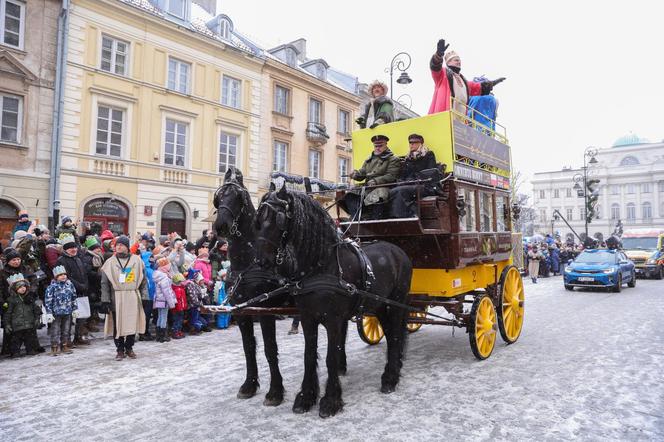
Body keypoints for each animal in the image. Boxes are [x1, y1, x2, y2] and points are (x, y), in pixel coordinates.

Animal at [213, 167, 290, 406]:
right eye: (219, 197)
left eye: (238, 197)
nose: (221, 225)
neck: (248, 261)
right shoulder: (243, 311)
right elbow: (249, 348)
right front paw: (249, 385)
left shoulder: (265, 310)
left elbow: (270, 348)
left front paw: (275, 392)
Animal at [255, 186, 416, 418]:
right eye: (258, 220)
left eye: (278, 219)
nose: (260, 261)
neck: (320, 267)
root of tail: (398, 251)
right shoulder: (308, 319)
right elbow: (309, 355)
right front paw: (306, 397)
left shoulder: (333, 320)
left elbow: (331, 357)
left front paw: (330, 401)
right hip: (379, 306)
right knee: (391, 334)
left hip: (395, 304)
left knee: (395, 336)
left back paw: (390, 379)